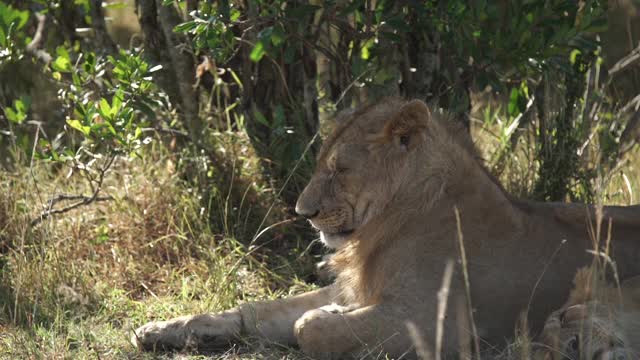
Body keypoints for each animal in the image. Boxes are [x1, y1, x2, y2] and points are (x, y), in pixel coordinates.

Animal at [132, 97, 640, 358]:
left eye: (339, 170)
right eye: (322, 163)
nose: (302, 211)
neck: (394, 219)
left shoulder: (444, 325)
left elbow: (307, 327)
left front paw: (329, 321)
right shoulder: (355, 288)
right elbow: (257, 310)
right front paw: (164, 328)